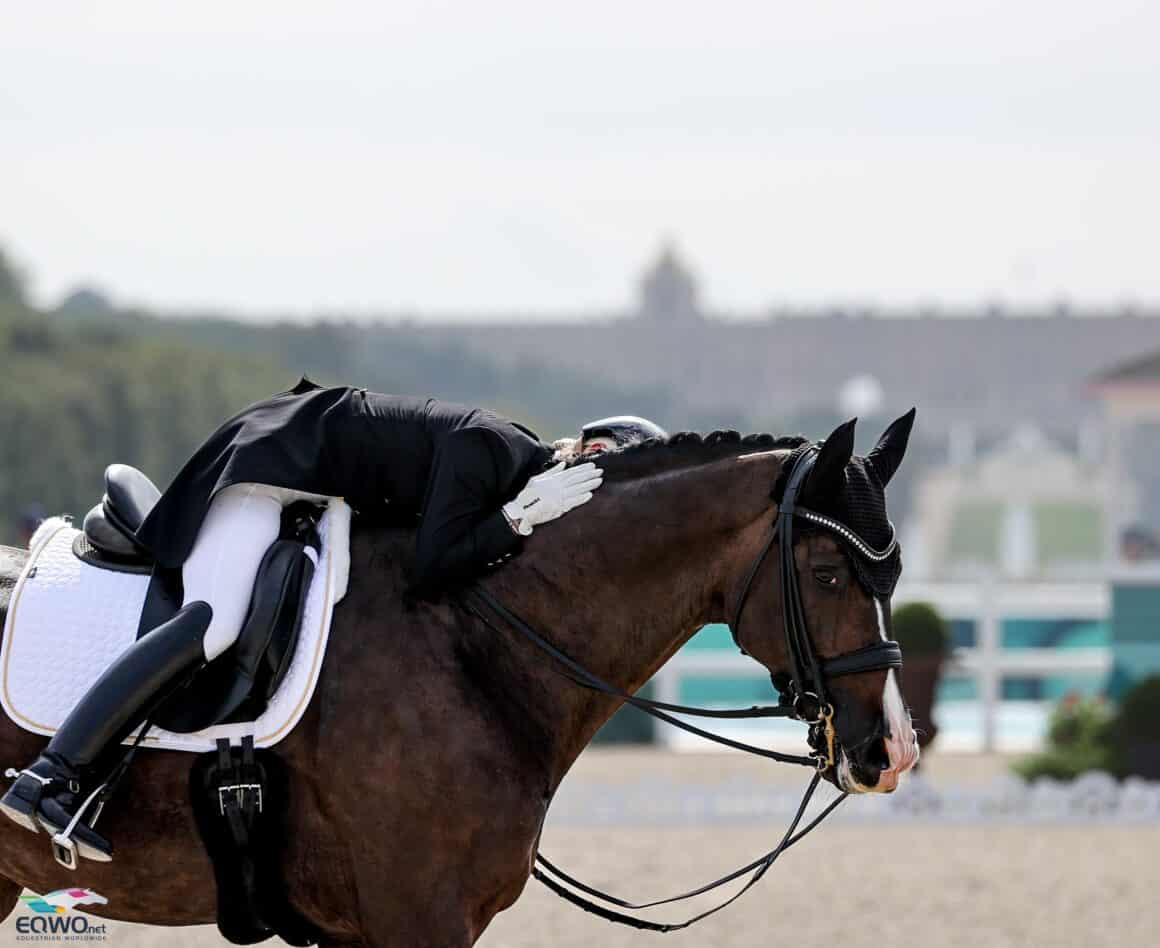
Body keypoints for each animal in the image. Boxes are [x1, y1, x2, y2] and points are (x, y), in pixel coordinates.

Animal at [0, 417, 914, 946]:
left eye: (895, 574)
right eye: (830, 573)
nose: (893, 751)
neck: (475, 641)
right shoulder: (419, 914)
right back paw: (46, 793)